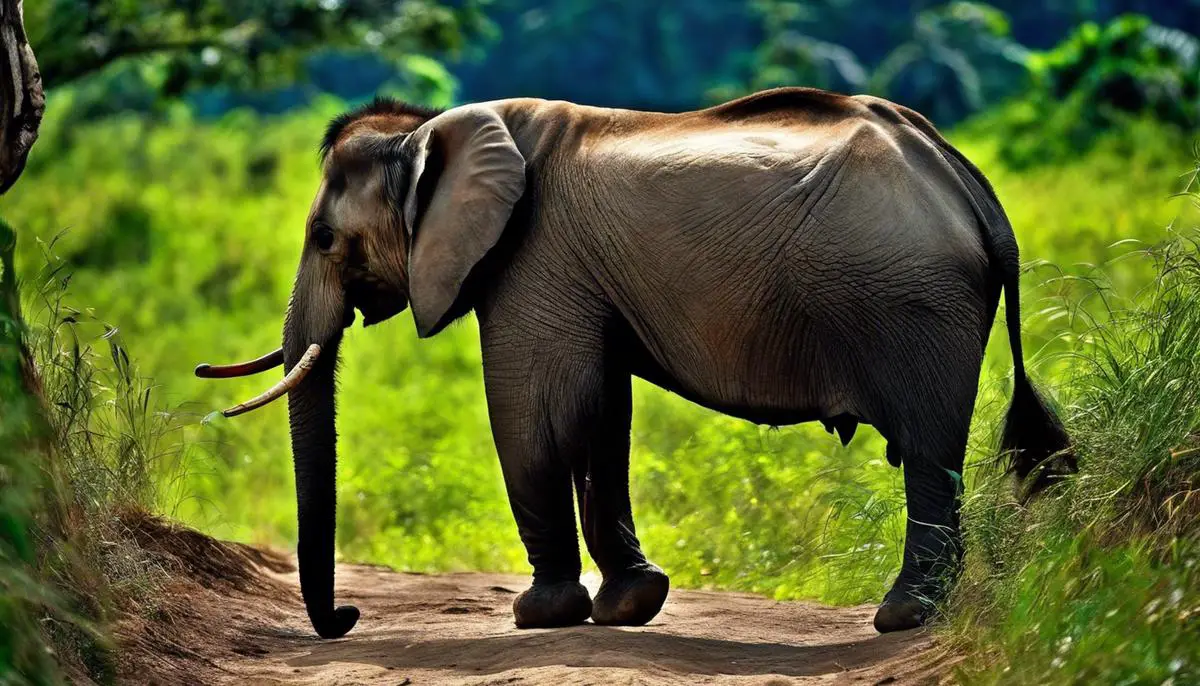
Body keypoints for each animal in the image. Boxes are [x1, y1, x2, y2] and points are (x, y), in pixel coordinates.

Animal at [194, 88, 1070, 642]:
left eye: (324, 240)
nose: (346, 620)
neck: (435, 131)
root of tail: (970, 186)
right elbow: (600, 417)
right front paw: (630, 604)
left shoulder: (530, 260)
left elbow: (533, 413)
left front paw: (539, 615)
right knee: (938, 454)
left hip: (913, 303)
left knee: (927, 451)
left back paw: (903, 619)